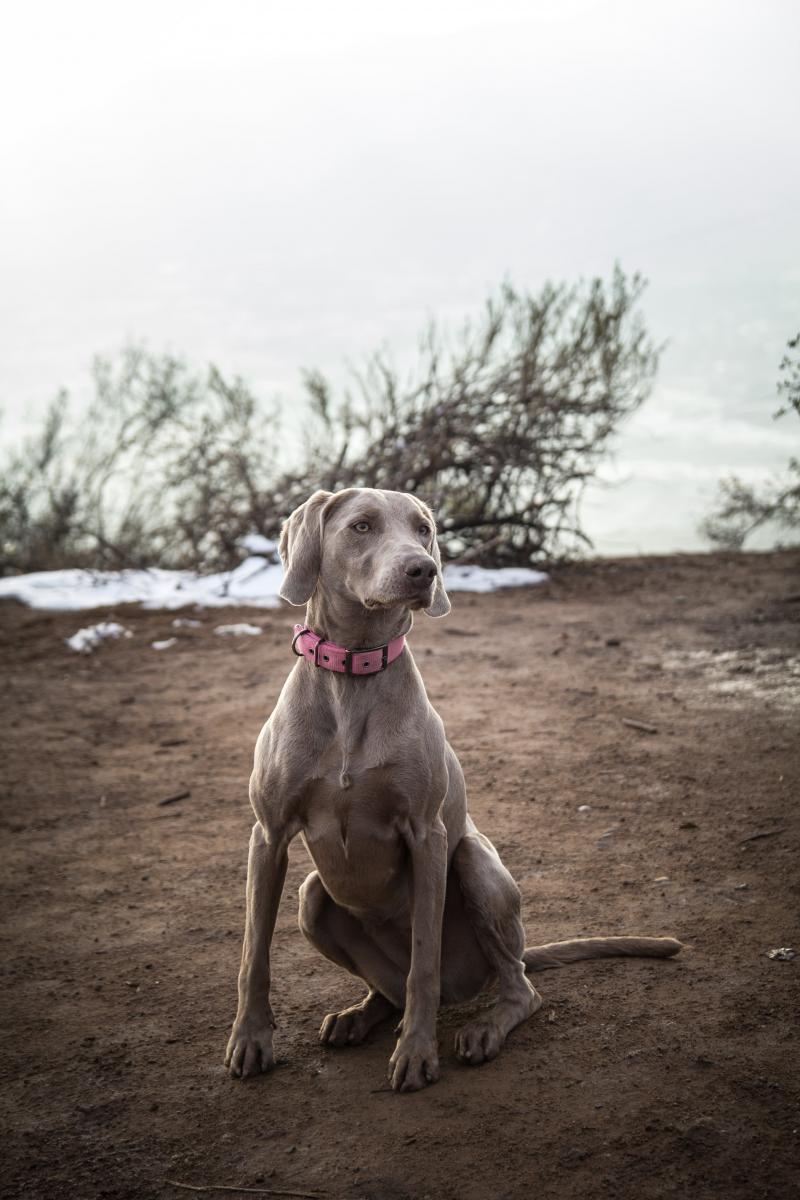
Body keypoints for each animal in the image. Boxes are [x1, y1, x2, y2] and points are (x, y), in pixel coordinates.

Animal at [225, 492, 681, 1094]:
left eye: (424, 530)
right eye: (361, 526)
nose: (425, 570)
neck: (353, 677)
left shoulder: (428, 835)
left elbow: (424, 958)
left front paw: (418, 1053)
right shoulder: (269, 835)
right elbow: (254, 953)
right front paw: (251, 1041)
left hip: (474, 864)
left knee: (515, 987)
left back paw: (484, 1028)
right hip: (313, 897)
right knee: (387, 988)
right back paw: (359, 1016)